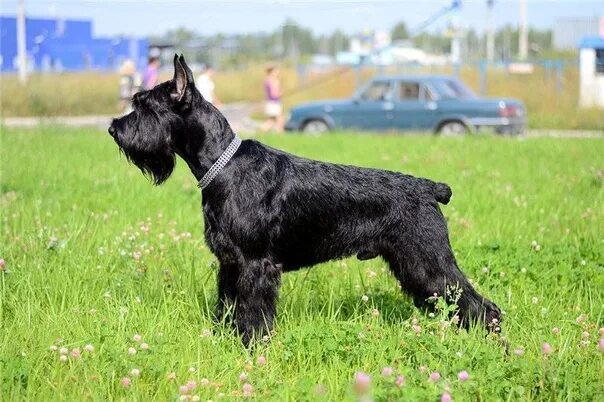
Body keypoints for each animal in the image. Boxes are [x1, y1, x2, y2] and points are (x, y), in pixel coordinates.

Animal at [108, 55, 500, 346]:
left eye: (146, 107)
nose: (113, 128)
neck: (224, 165)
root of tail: (430, 188)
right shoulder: (230, 263)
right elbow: (228, 307)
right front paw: (224, 340)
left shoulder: (255, 264)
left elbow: (253, 313)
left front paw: (253, 348)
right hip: (414, 265)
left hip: (429, 261)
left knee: (483, 307)